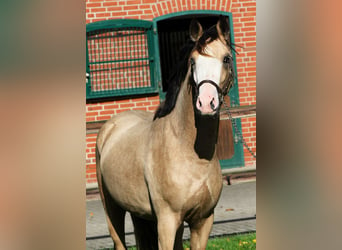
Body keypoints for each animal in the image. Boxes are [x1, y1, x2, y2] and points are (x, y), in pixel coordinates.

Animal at [95, 16, 235, 249]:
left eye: (226, 59)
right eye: (192, 62)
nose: (206, 103)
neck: (191, 154)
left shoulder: (203, 221)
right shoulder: (167, 221)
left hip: (141, 214)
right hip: (112, 208)